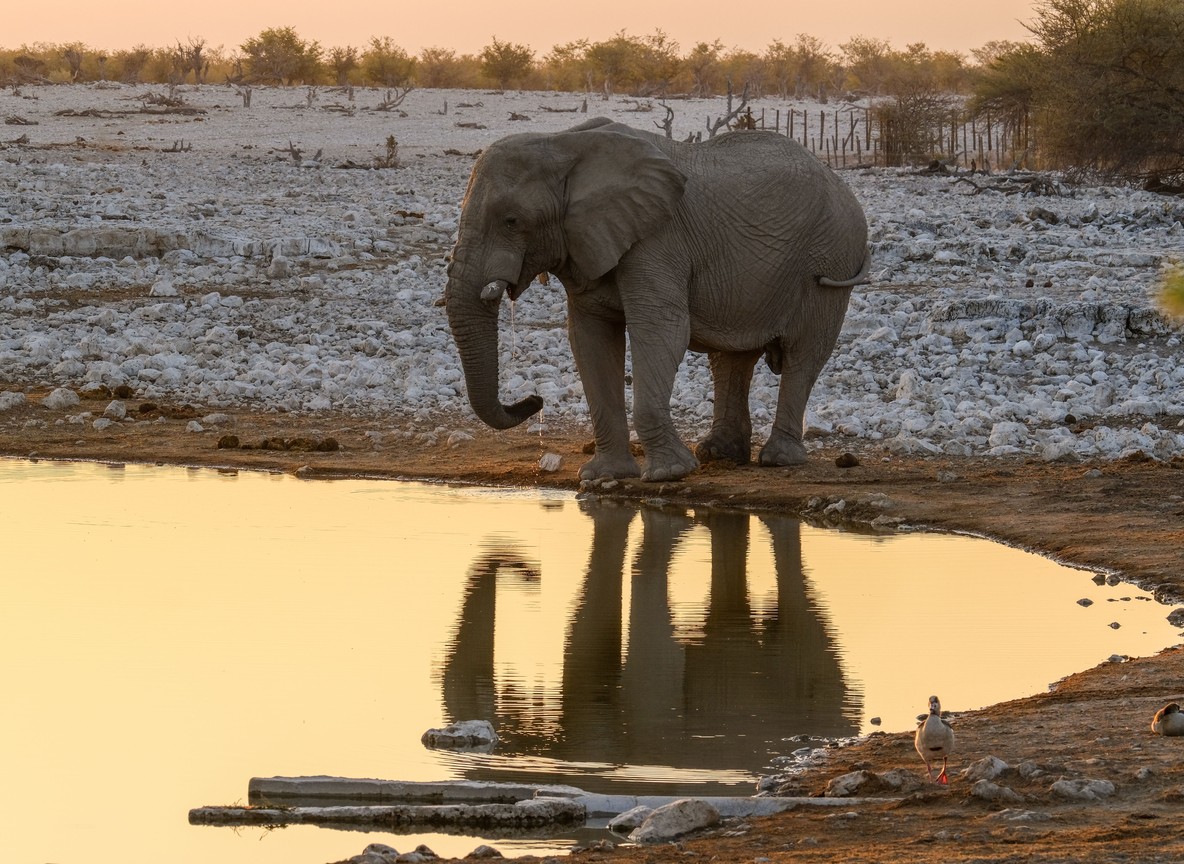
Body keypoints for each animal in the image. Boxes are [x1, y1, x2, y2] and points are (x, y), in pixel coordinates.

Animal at [444, 116, 870, 482]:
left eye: (511, 220)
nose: (534, 400)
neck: (562, 143)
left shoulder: (658, 239)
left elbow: (661, 328)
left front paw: (669, 473)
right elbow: (590, 337)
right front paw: (604, 477)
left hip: (831, 256)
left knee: (804, 353)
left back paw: (778, 459)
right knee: (730, 358)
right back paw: (718, 454)